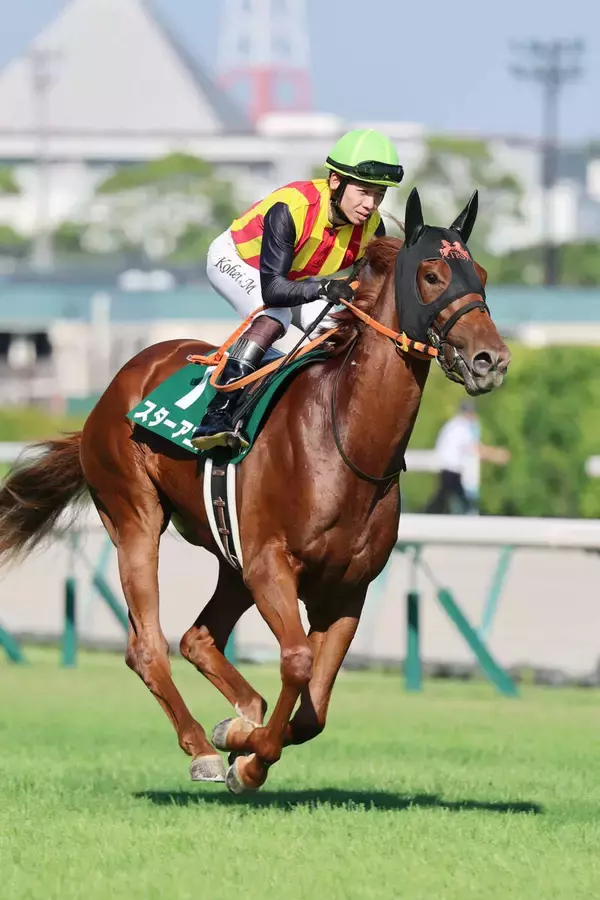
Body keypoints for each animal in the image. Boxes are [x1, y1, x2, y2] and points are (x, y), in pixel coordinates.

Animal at [0, 189, 510, 795]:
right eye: (432, 275)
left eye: (480, 274)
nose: (491, 360)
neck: (345, 441)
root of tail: (113, 389)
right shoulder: (271, 565)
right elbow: (297, 662)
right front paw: (247, 757)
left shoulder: (347, 589)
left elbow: (314, 711)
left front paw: (244, 738)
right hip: (134, 517)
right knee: (147, 645)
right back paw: (202, 746)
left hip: (230, 553)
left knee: (198, 637)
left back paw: (237, 717)